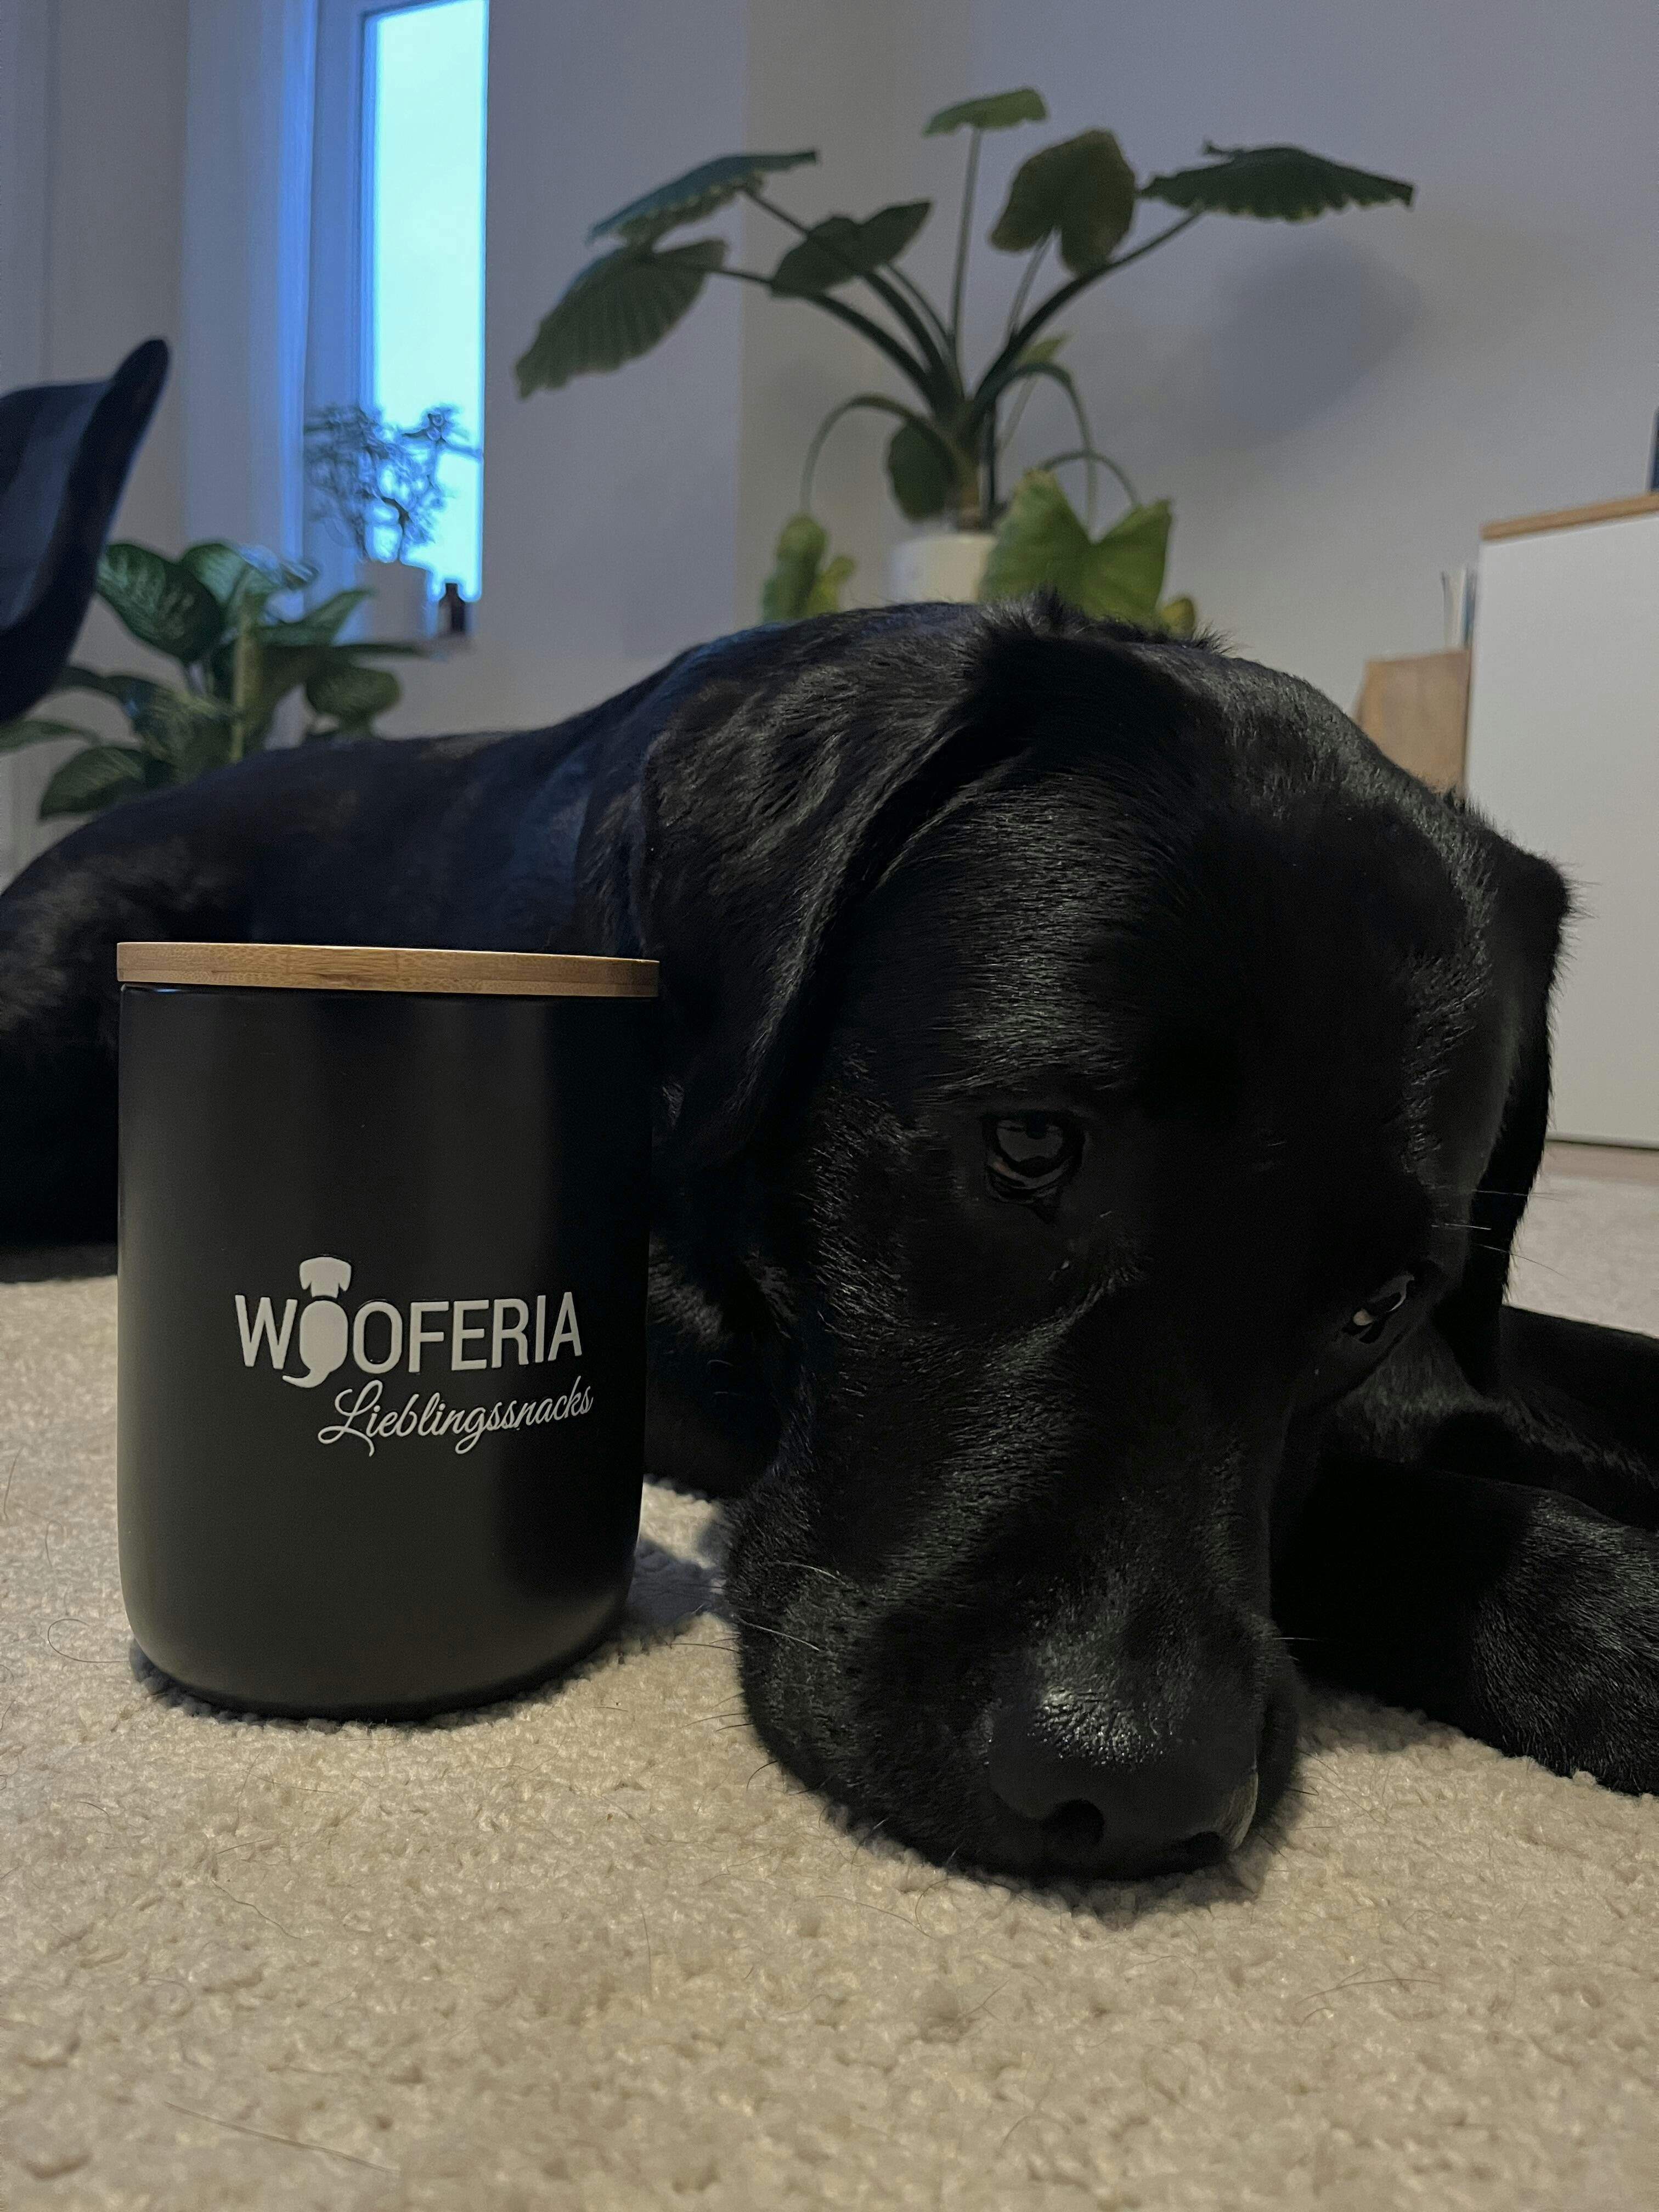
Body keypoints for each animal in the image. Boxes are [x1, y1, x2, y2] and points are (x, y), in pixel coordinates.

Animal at [3, 599, 1655, 1879]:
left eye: (1381, 1302)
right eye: (1029, 1143)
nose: (1130, 1791)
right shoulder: (677, 1333)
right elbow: (1370, 1506)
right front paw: (1605, 1616)